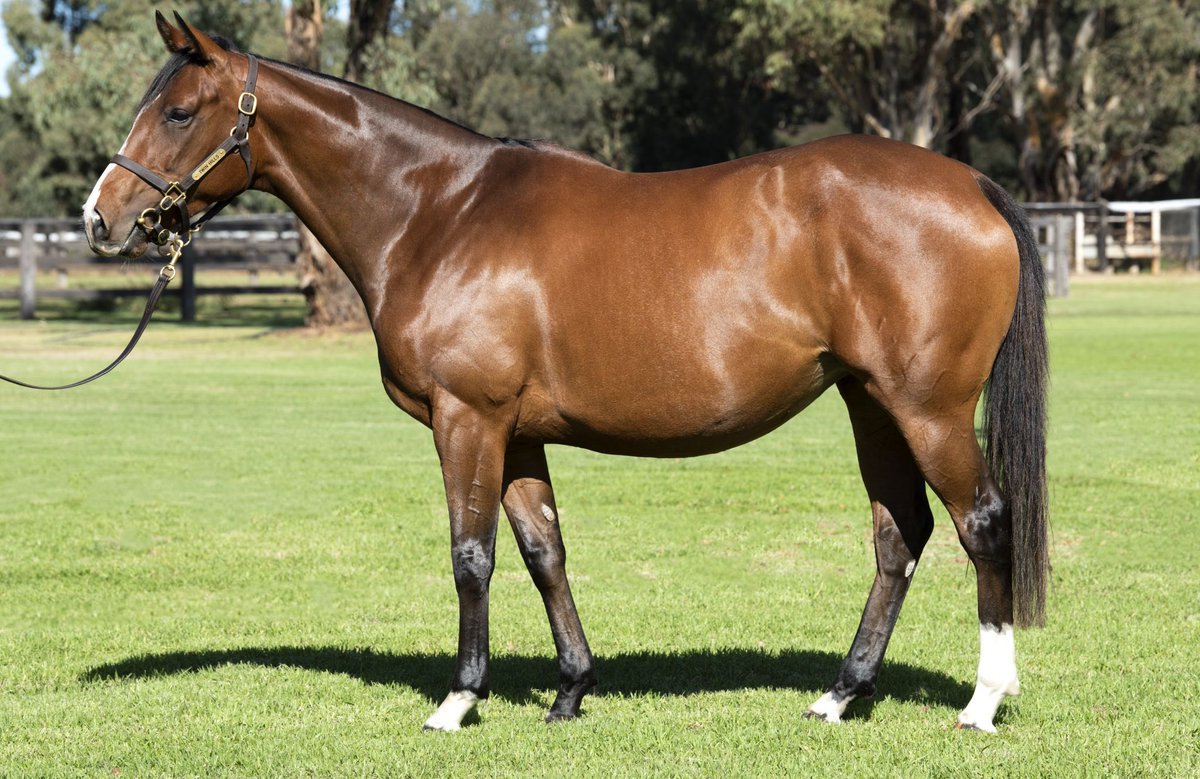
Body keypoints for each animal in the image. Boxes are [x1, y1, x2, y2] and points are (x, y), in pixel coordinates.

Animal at [82, 13, 1047, 733]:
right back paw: (840, 694)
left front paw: (457, 698)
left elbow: (470, 553)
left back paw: (983, 700)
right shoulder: (515, 433)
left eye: (179, 112)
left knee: (982, 522)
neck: (438, 211)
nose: (101, 218)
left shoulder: (466, 418)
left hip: (926, 408)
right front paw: (572, 688)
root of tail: (972, 185)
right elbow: (543, 549)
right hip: (869, 401)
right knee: (899, 534)